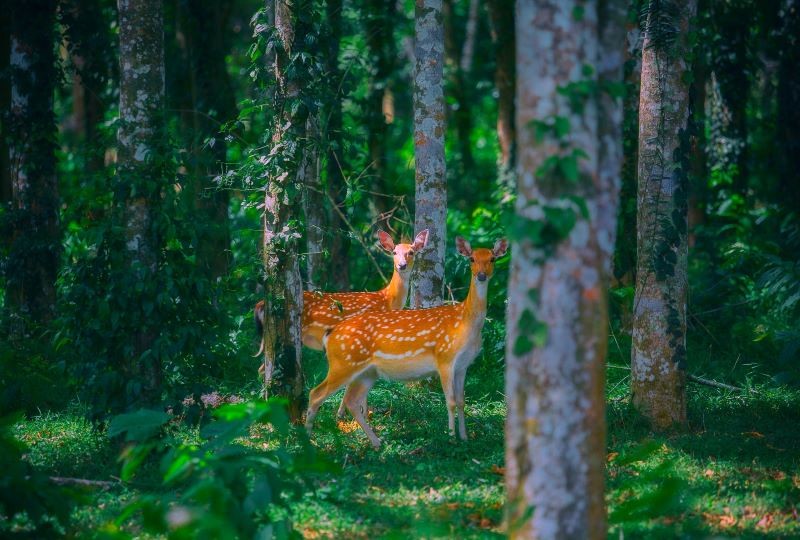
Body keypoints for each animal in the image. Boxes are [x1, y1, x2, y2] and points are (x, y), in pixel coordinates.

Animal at [304, 236, 510, 448]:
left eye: (493, 258)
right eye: (471, 259)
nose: (482, 275)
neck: (466, 324)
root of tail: (330, 333)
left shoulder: (463, 365)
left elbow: (462, 401)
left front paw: (465, 437)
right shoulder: (444, 357)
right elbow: (451, 401)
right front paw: (451, 438)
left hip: (367, 371)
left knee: (352, 400)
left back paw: (376, 442)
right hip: (342, 363)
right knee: (316, 394)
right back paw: (307, 441)